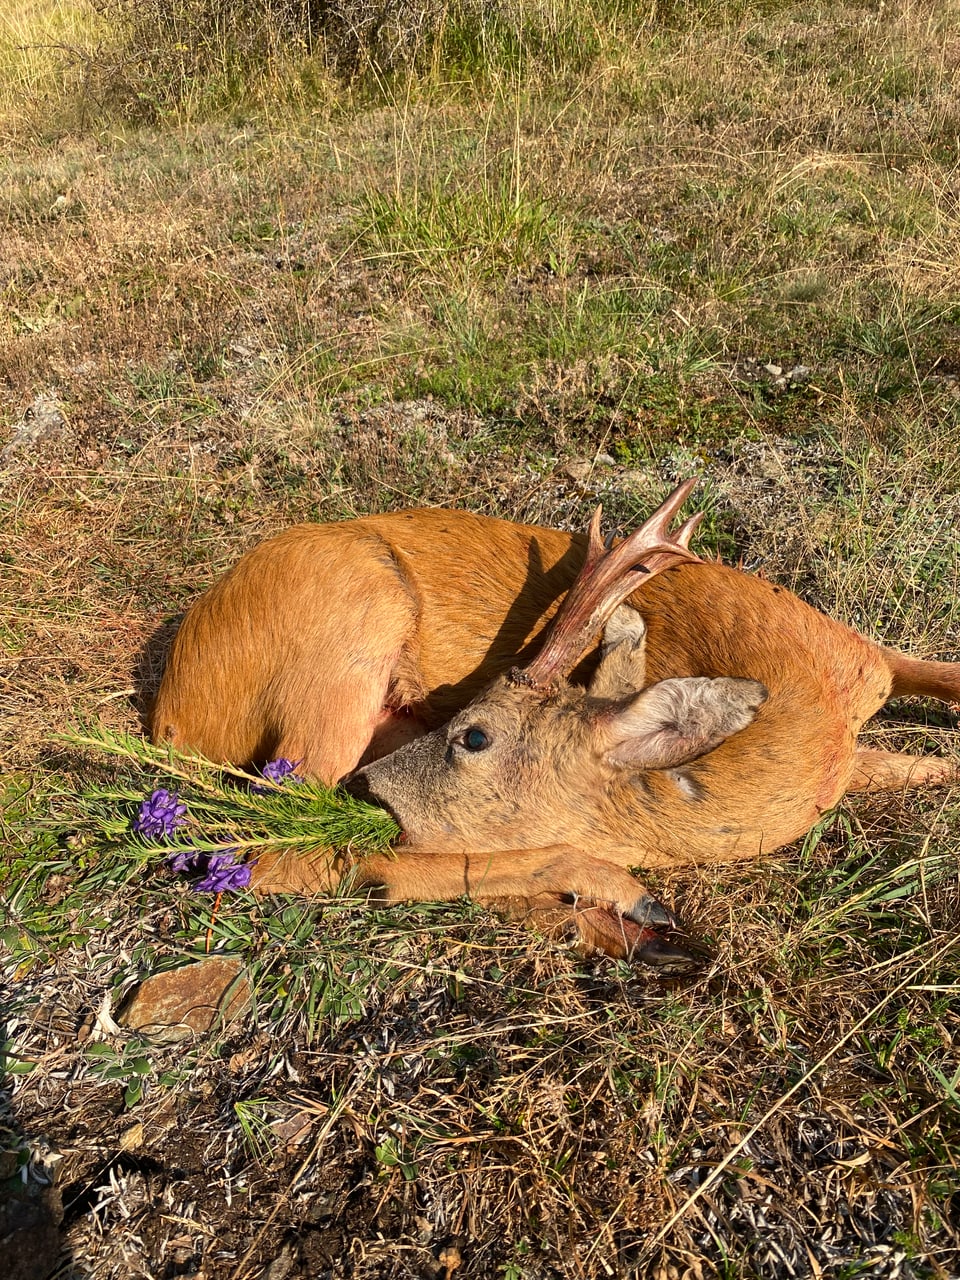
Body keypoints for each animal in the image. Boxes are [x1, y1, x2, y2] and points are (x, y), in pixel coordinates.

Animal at [150, 483, 960, 962]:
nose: (367, 788)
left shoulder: (869, 658)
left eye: (474, 736)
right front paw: (622, 895)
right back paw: (626, 903)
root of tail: (171, 715)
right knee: (282, 851)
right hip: (343, 646)